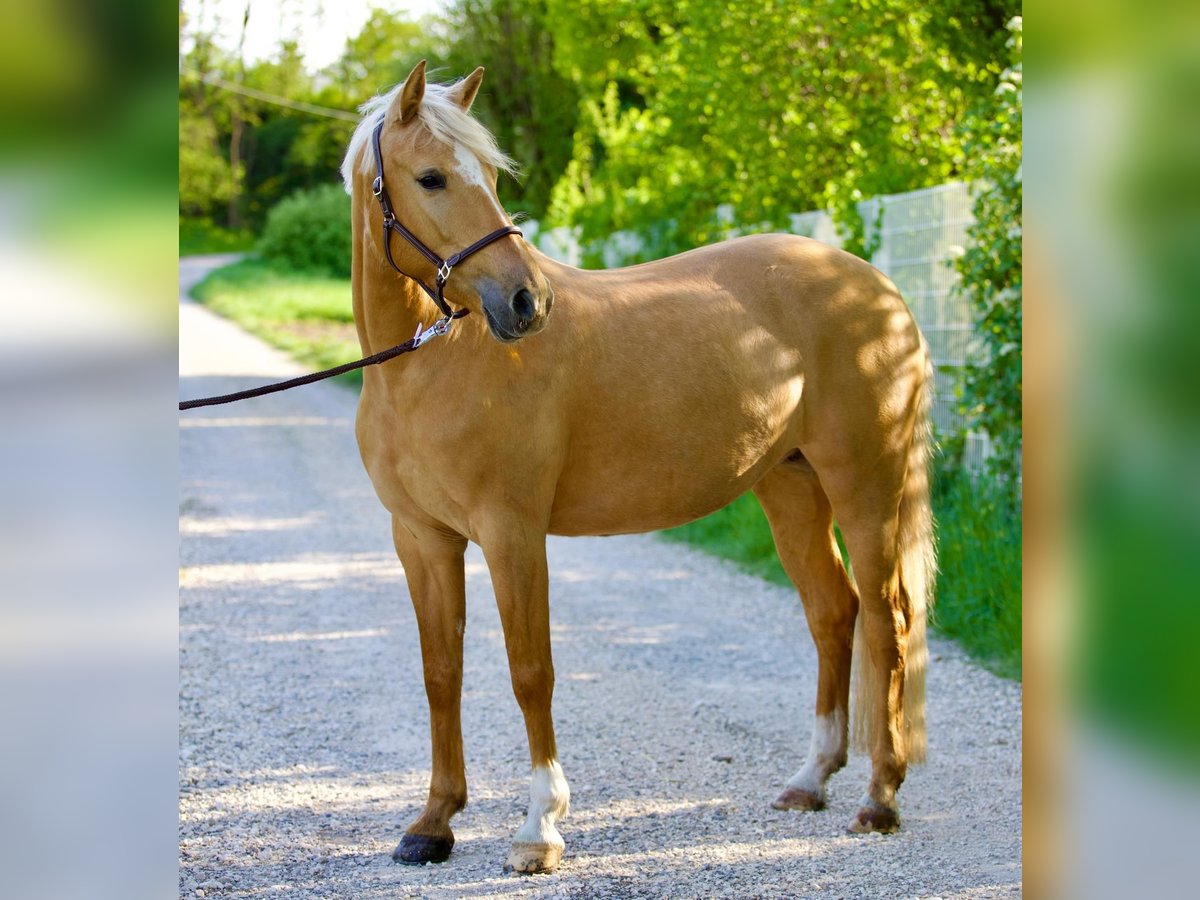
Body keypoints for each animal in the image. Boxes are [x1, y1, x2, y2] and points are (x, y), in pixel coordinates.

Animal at [340, 61, 936, 873]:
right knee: (831, 612)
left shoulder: (512, 534)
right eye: (430, 177)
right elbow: (441, 674)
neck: (431, 365)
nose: (527, 302)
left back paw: (880, 797)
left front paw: (540, 829)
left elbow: (531, 672)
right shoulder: (421, 539)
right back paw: (811, 779)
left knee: (886, 620)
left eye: (488, 175)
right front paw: (433, 824)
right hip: (791, 486)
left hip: (866, 487)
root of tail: (878, 288)